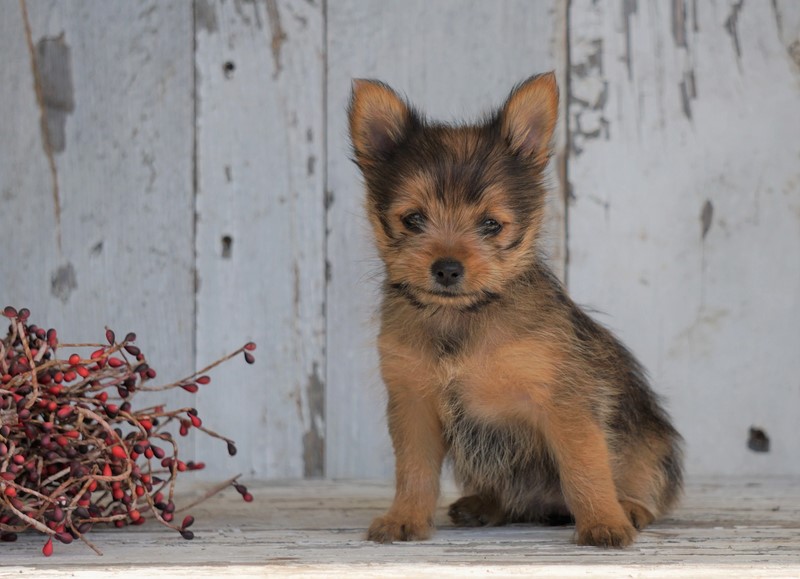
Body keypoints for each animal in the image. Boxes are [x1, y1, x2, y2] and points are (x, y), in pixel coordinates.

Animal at [348, 72, 680, 548]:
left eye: (491, 224)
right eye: (413, 220)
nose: (447, 268)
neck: (464, 317)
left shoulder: (565, 405)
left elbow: (585, 466)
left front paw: (603, 522)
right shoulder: (414, 405)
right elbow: (414, 471)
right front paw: (405, 517)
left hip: (652, 445)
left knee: (643, 480)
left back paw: (630, 508)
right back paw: (485, 505)